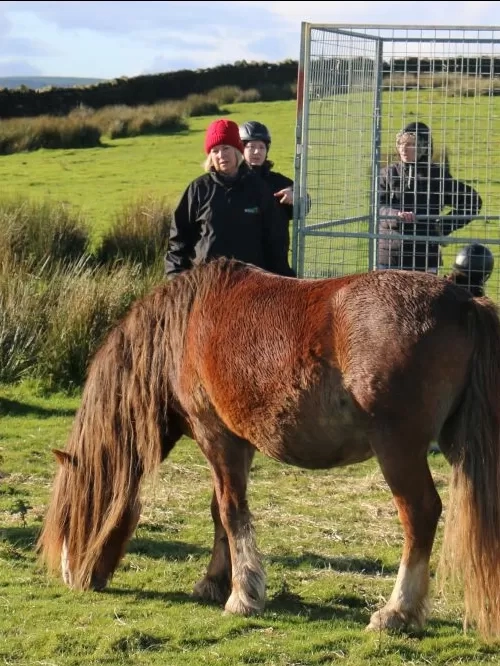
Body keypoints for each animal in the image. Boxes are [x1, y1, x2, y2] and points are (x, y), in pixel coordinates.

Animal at [37, 255, 500, 640]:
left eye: (71, 514)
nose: (71, 578)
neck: (181, 330)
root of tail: (465, 302)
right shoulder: (237, 444)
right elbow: (220, 513)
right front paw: (215, 580)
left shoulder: (215, 436)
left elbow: (232, 511)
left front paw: (243, 595)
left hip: (397, 450)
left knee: (420, 514)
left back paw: (397, 611)